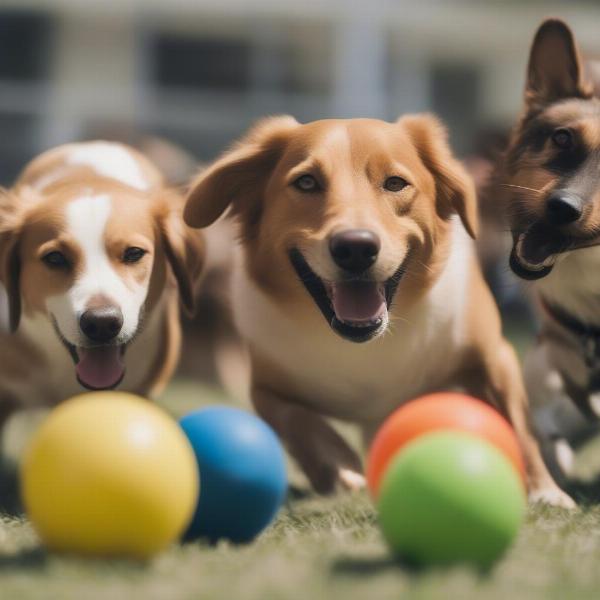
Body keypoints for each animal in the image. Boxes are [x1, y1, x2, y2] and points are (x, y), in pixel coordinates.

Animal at [186, 113, 572, 506]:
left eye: (395, 183)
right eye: (306, 182)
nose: (355, 248)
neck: (368, 348)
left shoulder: (495, 356)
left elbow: (518, 426)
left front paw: (545, 490)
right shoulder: (264, 386)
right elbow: (295, 420)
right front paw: (339, 465)